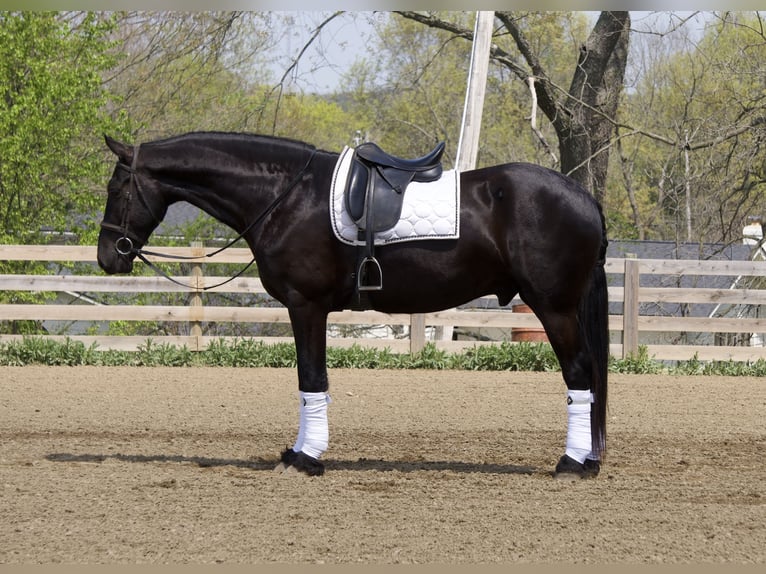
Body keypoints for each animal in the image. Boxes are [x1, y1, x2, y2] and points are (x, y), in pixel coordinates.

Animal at [97, 131, 609, 480]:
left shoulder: (305, 306)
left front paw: (305, 458)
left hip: (554, 308)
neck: (286, 195)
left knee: (579, 374)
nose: (108, 257)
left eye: (116, 189)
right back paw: (585, 459)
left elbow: (311, 379)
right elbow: (313, 381)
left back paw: (571, 462)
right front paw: (300, 452)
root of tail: (583, 198)